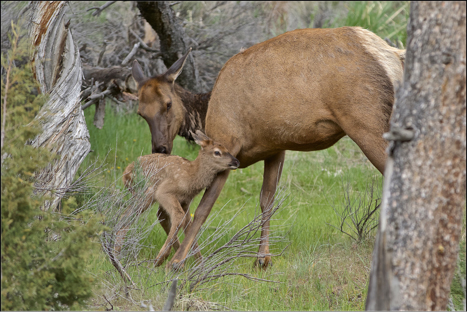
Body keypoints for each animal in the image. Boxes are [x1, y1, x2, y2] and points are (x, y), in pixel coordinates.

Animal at [114, 130, 239, 266]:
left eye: (227, 148)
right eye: (217, 152)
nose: (236, 162)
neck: (191, 176)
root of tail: (126, 172)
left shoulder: (185, 201)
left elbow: (188, 224)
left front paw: (197, 262)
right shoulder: (164, 191)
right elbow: (179, 217)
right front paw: (161, 258)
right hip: (147, 193)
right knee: (126, 216)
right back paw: (117, 252)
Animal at [132, 26, 406, 270]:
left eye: (168, 104)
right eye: (140, 112)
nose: (160, 148)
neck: (206, 112)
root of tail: (391, 55)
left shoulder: (228, 145)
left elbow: (201, 209)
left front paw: (178, 261)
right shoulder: (275, 148)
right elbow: (267, 200)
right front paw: (262, 258)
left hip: (366, 123)